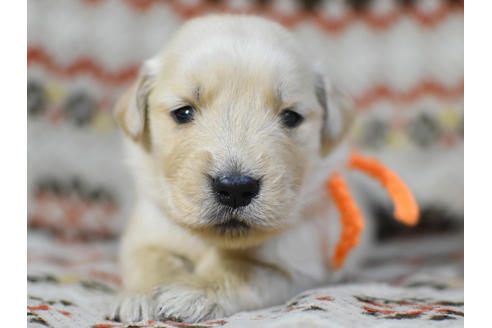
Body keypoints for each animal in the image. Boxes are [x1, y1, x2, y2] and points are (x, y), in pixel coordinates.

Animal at [109, 14, 356, 322]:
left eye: (291, 117)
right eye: (183, 112)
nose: (236, 188)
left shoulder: (297, 267)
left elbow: (242, 269)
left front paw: (192, 291)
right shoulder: (146, 232)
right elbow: (150, 259)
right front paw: (141, 294)